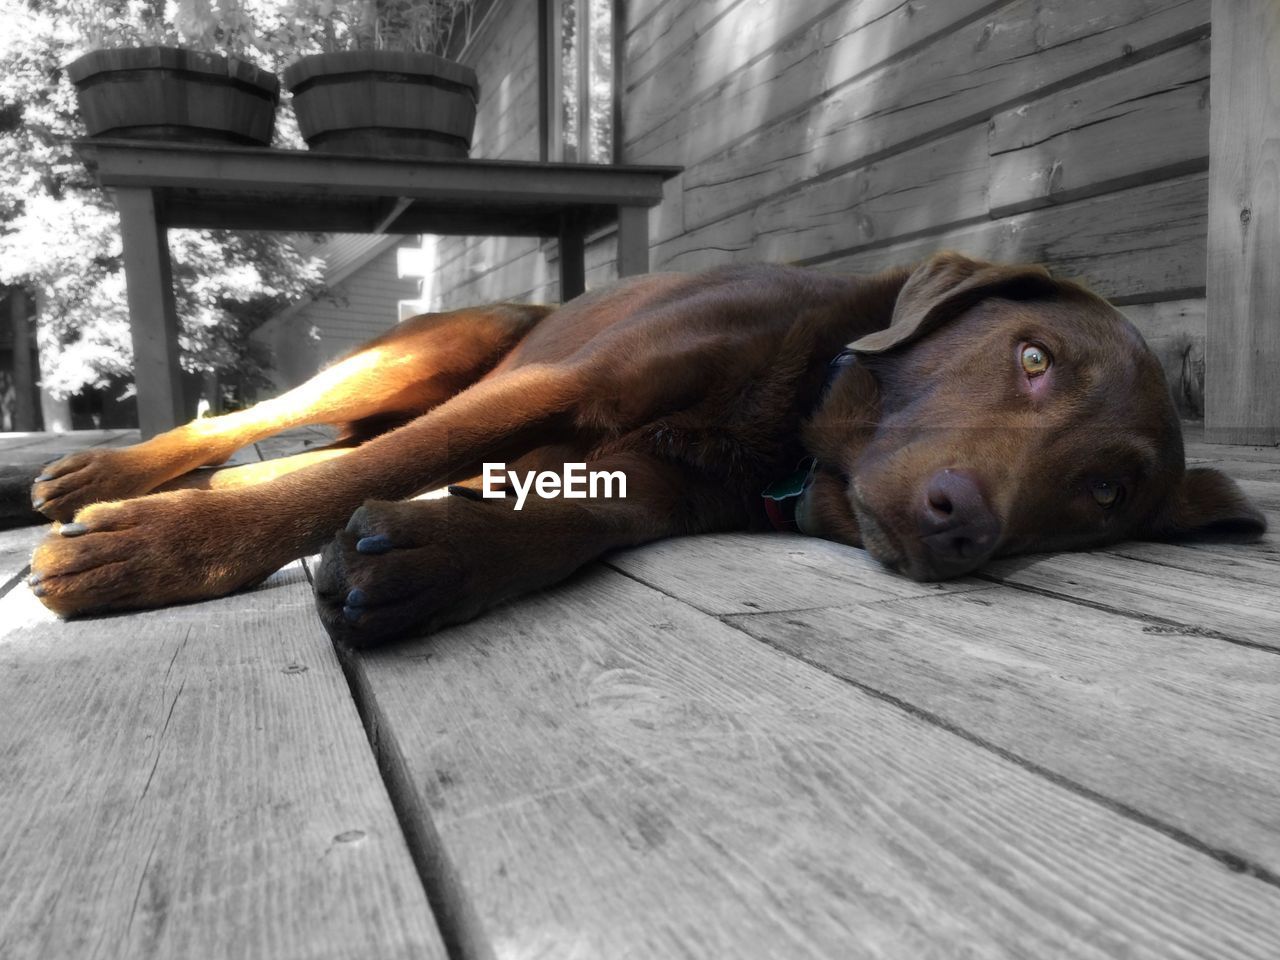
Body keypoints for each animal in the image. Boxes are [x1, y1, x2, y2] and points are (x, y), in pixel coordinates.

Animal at [24, 252, 1264, 650]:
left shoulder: (662, 481)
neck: (793, 414)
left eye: (1102, 489)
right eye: (1032, 357)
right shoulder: (558, 384)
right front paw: (162, 550)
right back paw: (101, 475)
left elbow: (570, 515)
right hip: (445, 351)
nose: (964, 523)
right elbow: (351, 474)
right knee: (262, 426)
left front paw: (432, 555)